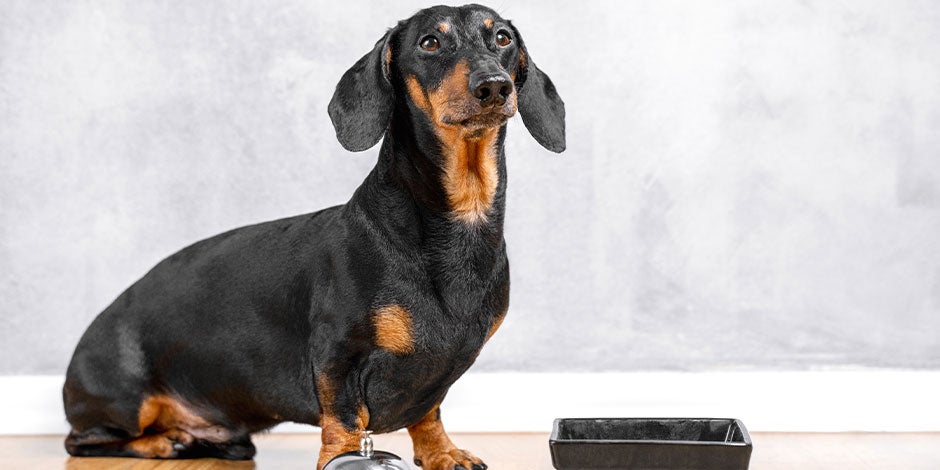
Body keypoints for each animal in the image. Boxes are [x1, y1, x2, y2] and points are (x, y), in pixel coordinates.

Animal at [66, 4, 564, 470]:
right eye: (429, 43)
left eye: (502, 38)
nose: (494, 86)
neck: (457, 217)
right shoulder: (336, 355)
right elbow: (344, 419)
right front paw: (342, 457)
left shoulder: (434, 378)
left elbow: (428, 413)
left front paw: (442, 453)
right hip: (125, 404)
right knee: (87, 441)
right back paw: (164, 441)